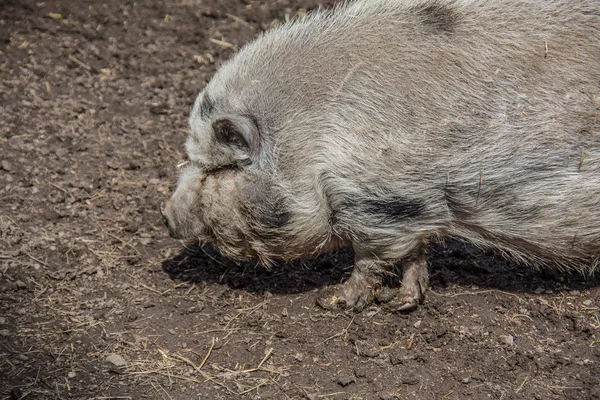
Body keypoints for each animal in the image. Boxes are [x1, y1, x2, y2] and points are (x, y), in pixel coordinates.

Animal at [161, 0, 600, 312]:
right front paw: (403, 303)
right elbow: (416, 252)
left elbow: (371, 258)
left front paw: (334, 302)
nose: (166, 217)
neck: (310, 142)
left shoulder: (382, 199)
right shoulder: (410, 209)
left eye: (221, 168)